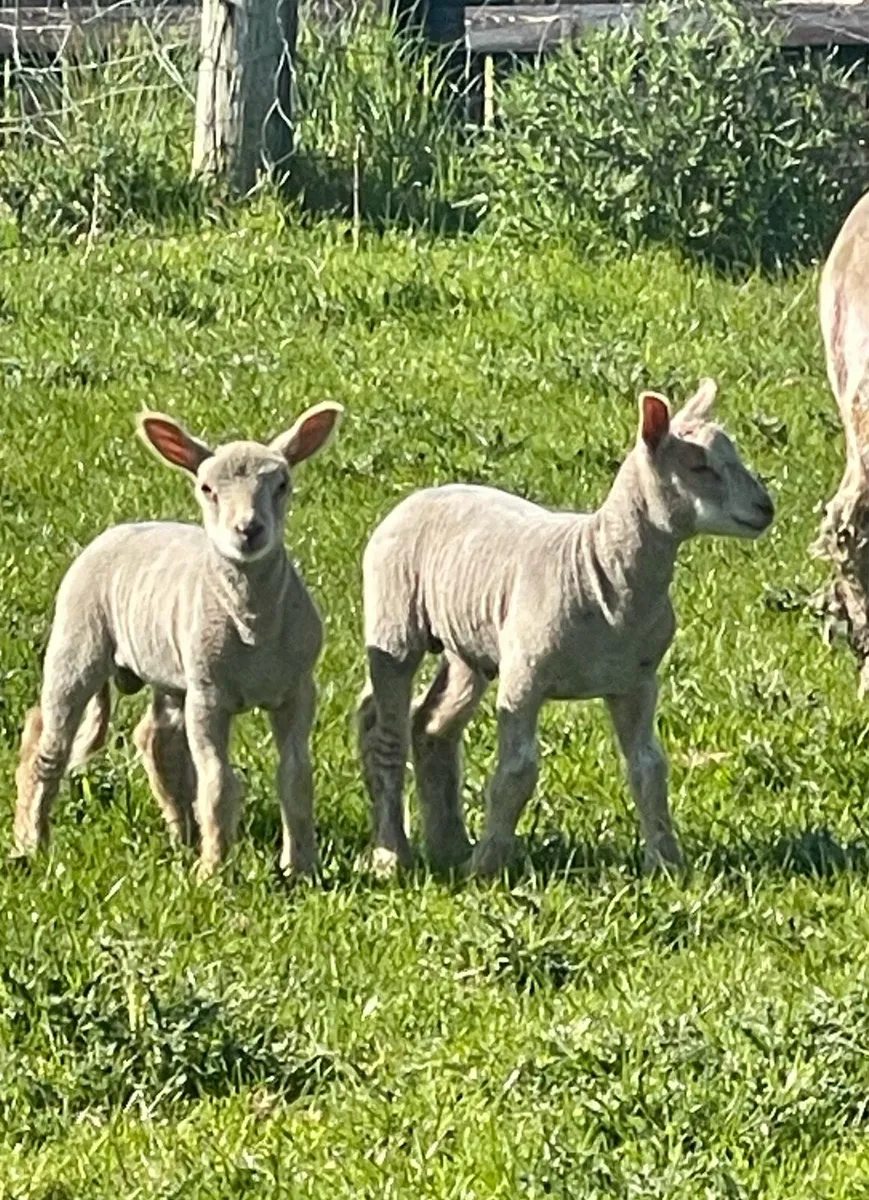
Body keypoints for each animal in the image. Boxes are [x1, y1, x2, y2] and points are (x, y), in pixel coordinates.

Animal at [13, 402, 343, 878]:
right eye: (207, 488)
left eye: (282, 484)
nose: (249, 530)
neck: (254, 626)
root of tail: (121, 529)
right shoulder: (209, 694)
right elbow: (218, 782)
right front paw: (215, 872)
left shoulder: (297, 689)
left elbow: (296, 778)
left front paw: (302, 868)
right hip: (77, 641)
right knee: (47, 742)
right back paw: (30, 841)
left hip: (169, 667)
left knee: (157, 740)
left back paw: (183, 837)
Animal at [357, 380, 773, 877]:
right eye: (698, 466)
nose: (766, 508)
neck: (602, 569)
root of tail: (419, 495)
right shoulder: (524, 677)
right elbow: (516, 772)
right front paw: (488, 865)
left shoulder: (635, 682)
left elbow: (649, 768)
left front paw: (667, 863)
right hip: (394, 618)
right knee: (386, 734)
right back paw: (392, 855)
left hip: (467, 646)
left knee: (432, 726)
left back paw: (449, 846)